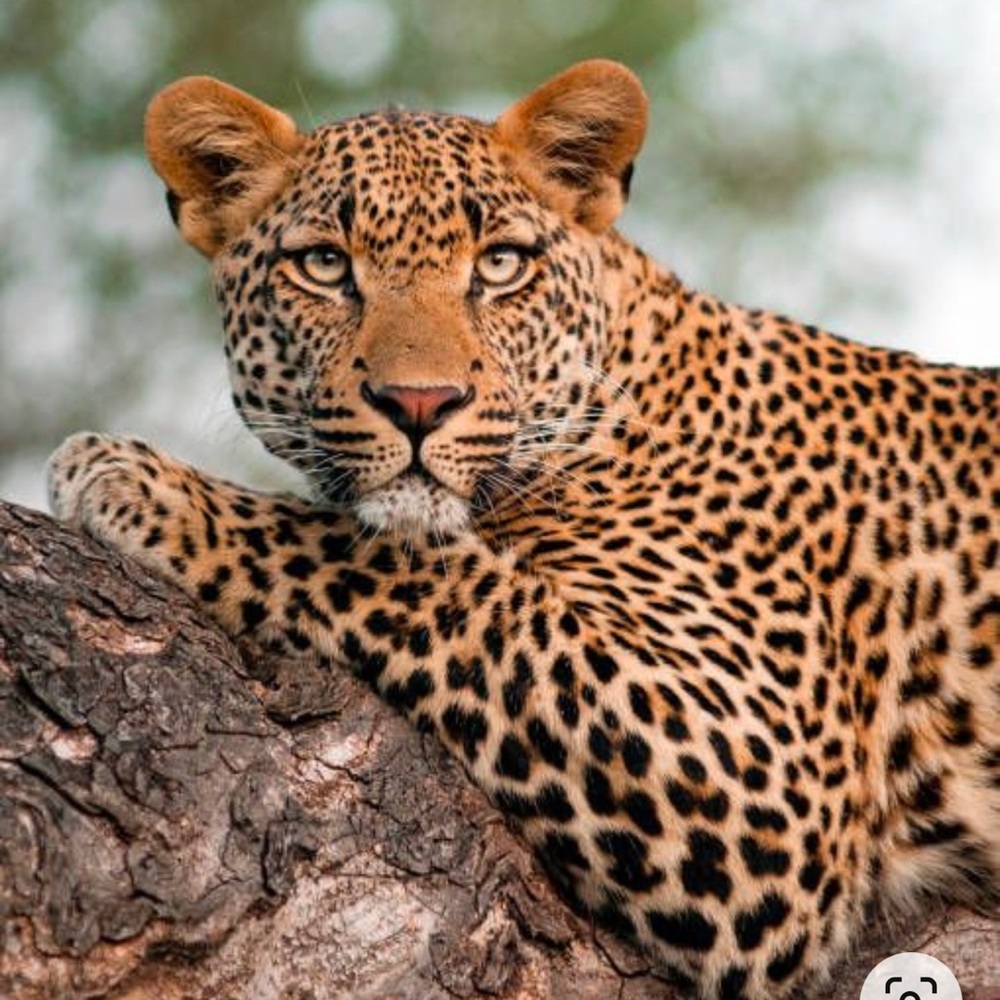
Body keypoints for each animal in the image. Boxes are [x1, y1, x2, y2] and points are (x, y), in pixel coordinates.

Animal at [47, 60, 999, 1000]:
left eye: (501, 264)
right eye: (323, 265)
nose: (419, 403)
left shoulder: (759, 776)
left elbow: (419, 571)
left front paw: (142, 482)